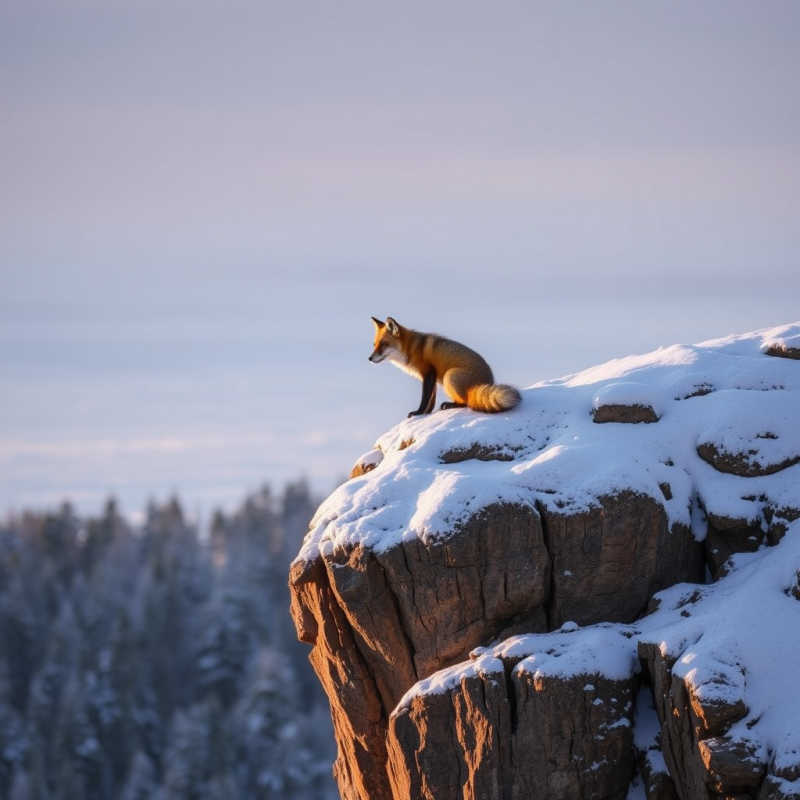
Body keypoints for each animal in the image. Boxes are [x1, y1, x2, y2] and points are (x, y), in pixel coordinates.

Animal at [369, 316, 522, 418]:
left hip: (450, 376)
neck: (412, 349)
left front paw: (418, 412)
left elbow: (425, 398)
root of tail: (487, 382)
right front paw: (426, 413)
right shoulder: (433, 378)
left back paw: (451, 404)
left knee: (469, 403)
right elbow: (431, 400)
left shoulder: (428, 373)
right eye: (374, 344)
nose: (369, 358)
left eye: (383, 345)